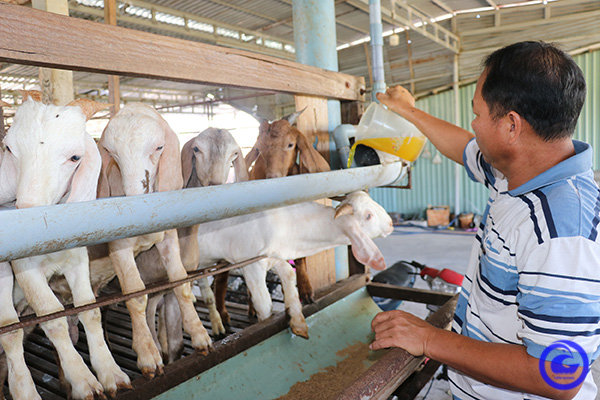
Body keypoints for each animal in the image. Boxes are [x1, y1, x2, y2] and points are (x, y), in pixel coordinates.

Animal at [0, 93, 131, 400]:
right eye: (9, 148)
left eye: (75, 157)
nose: (27, 214)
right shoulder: (23, 267)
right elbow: (53, 318)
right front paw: (83, 380)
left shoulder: (77, 258)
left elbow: (89, 310)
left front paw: (110, 372)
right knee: (10, 331)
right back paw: (24, 390)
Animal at [95, 102, 212, 378]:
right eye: (109, 152)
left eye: (159, 147)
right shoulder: (118, 247)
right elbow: (136, 294)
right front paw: (148, 354)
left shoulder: (167, 235)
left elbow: (180, 280)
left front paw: (199, 334)